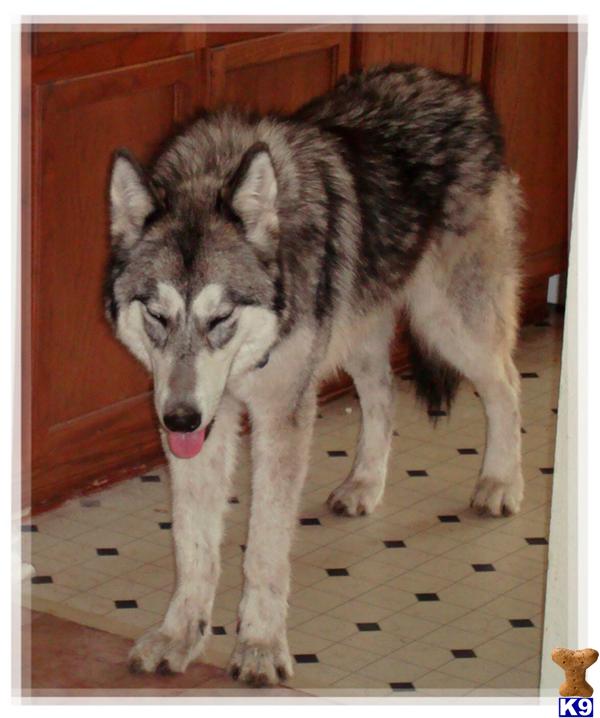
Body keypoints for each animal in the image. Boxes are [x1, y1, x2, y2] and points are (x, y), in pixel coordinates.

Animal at [104, 64, 524, 686]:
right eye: (158, 316)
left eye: (219, 318)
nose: (179, 418)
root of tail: (461, 85)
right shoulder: (203, 425)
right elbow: (194, 545)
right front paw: (181, 636)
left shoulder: (281, 417)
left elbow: (264, 550)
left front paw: (259, 647)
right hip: (358, 335)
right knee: (383, 398)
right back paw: (364, 485)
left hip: (449, 323)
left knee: (507, 384)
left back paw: (500, 484)